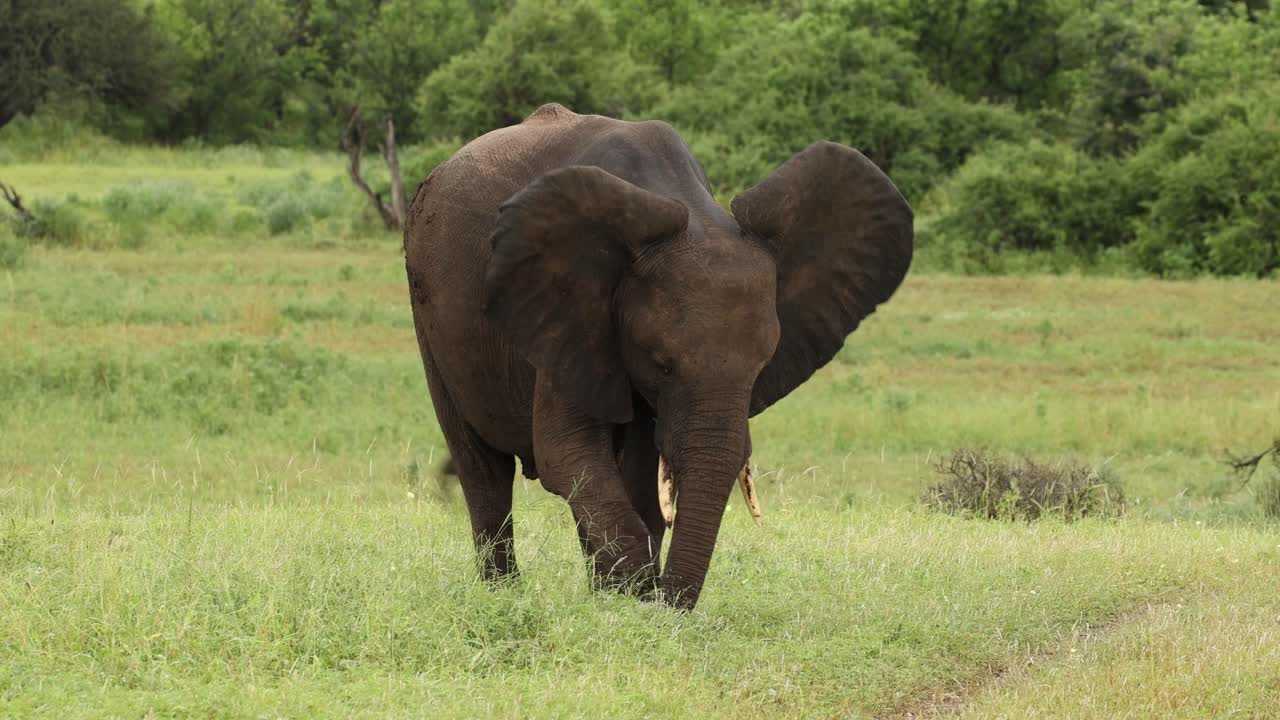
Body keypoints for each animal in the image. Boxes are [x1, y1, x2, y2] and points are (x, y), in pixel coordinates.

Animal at [403, 103, 912, 610]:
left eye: (760, 368)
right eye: (661, 363)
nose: (668, 603)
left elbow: (637, 473)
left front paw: (621, 599)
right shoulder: (567, 313)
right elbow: (568, 454)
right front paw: (632, 596)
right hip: (428, 315)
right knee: (483, 471)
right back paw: (504, 596)